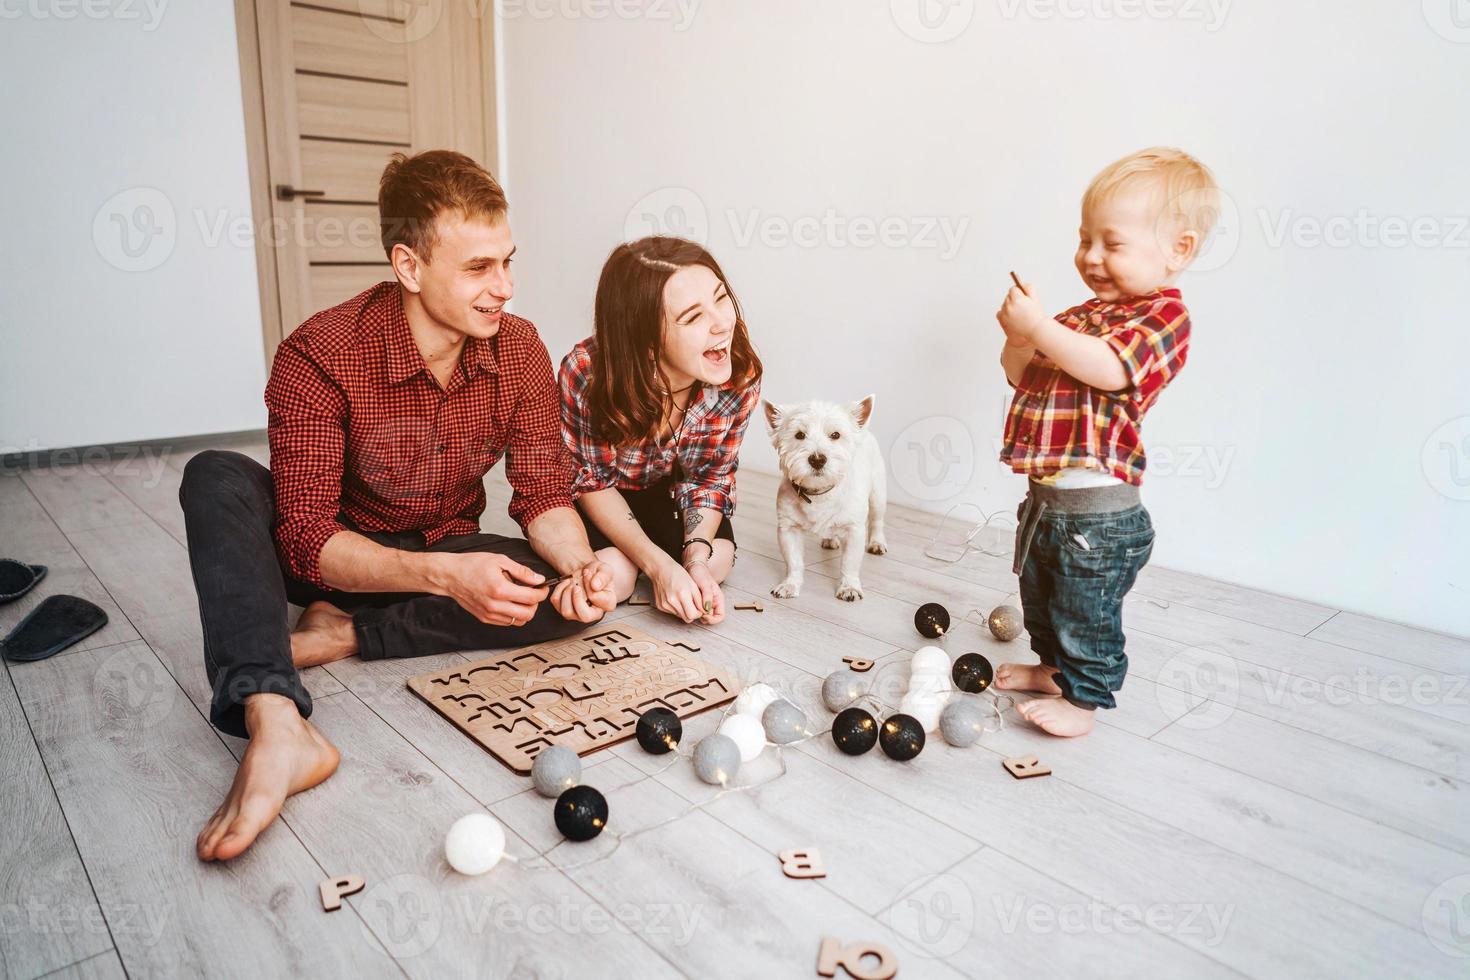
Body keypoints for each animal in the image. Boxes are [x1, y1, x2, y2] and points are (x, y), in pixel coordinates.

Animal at [764, 393, 887, 602]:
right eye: (799, 435)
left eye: (835, 435)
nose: (817, 459)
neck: (819, 492)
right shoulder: (788, 528)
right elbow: (794, 561)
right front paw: (790, 585)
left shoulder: (854, 530)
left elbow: (849, 562)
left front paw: (849, 587)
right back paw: (830, 540)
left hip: (878, 493)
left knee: (877, 520)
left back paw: (877, 543)